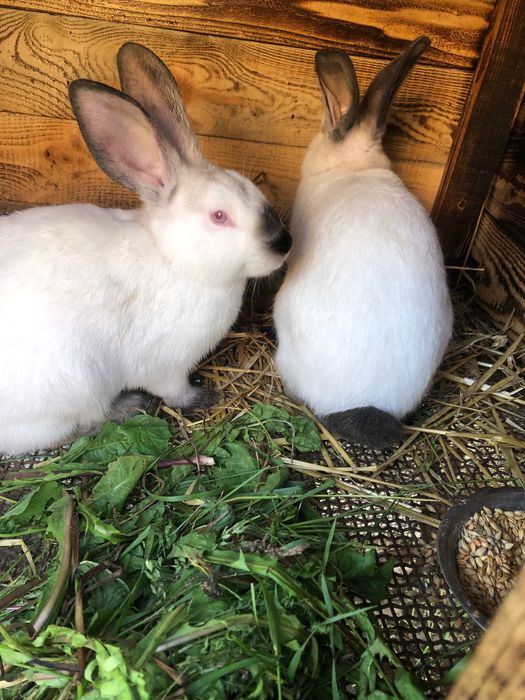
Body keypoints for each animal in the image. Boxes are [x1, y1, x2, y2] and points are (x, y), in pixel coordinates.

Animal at [0, 43, 291, 456]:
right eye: (219, 216)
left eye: (251, 186)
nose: (285, 244)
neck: (174, 259)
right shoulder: (167, 367)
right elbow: (174, 391)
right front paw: (203, 398)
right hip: (72, 385)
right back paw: (129, 406)